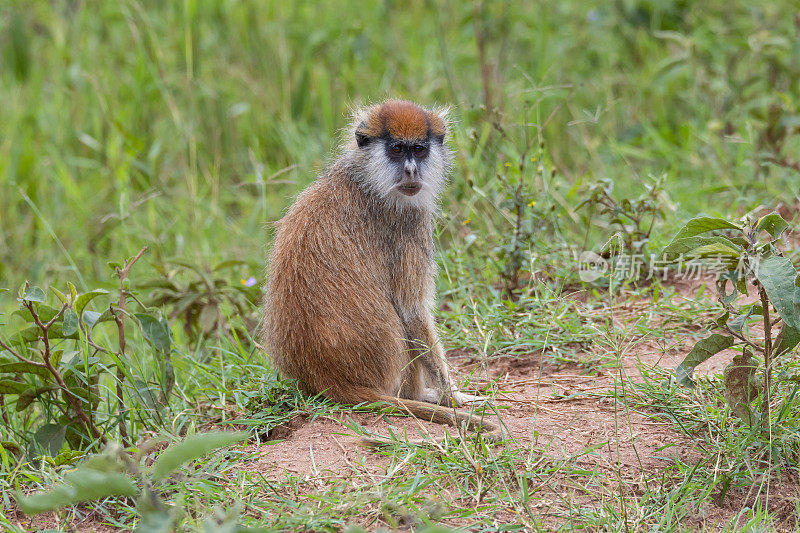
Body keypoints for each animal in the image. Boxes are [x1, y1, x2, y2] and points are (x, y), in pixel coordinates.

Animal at [260, 100, 494, 436]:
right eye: (396, 149)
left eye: (418, 149)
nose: (411, 170)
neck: (367, 177)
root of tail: (327, 380)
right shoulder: (408, 223)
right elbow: (412, 312)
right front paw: (453, 396)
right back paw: (420, 395)